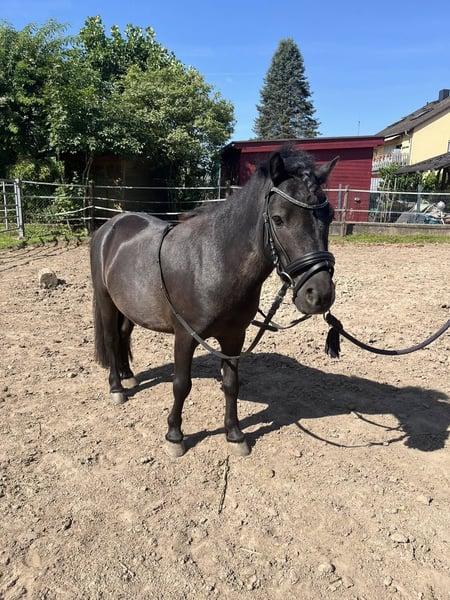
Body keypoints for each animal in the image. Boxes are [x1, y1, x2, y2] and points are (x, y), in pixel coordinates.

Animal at [90, 147, 339, 456]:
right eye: (279, 218)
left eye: (329, 216)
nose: (320, 294)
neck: (213, 261)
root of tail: (109, 227)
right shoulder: (185, 336)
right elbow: (181, 385)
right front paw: (175, 436)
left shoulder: (234, 337)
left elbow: (231, 384)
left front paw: (235, 434)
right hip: (106, 302)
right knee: (112, 339)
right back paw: (117, 388)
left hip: (131, 306)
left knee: (123, 335)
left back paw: (128, 375)